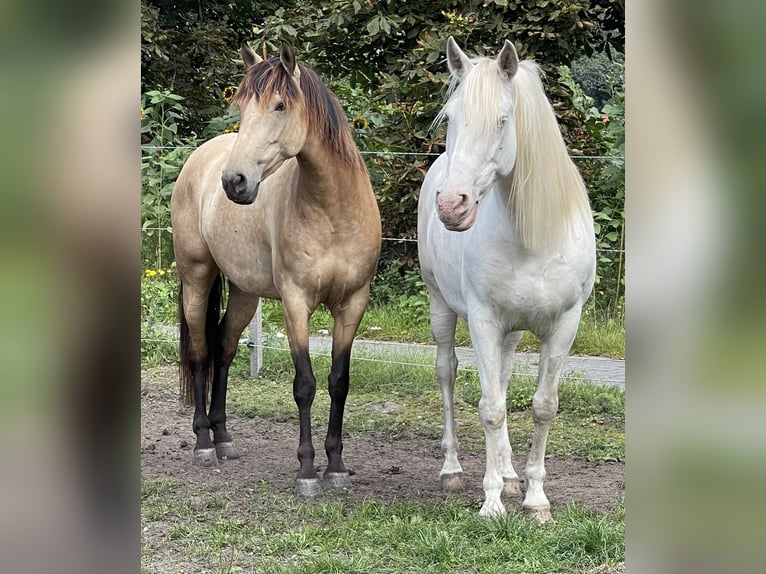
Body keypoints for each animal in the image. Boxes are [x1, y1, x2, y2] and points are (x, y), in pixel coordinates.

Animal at [416, 35, 596, 520]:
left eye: (502, 120)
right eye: (451, 117)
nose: (452, 205)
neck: (531, 238)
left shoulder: (565, 324)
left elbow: (543, 407)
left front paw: (534, 499)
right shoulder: (483, 320)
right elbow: (491, 408)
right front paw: (492, 502)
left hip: (512, 332)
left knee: (504, 376)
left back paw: (512, 473)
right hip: (442, 307)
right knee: (447, 373)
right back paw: (453, 470)